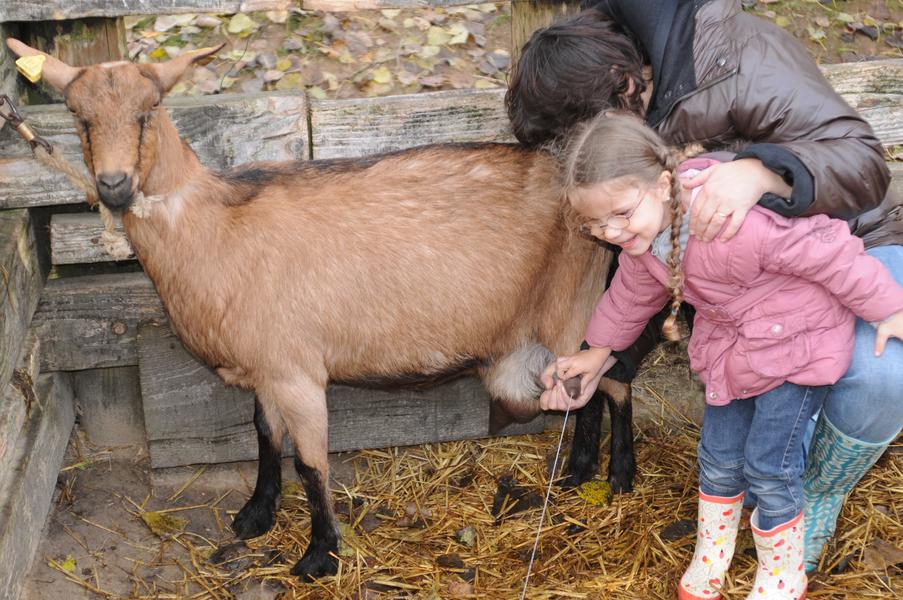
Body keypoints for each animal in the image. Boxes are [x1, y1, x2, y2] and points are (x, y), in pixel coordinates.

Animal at [8, 41, 628, 576]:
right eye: (78, 117)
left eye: (149, 109)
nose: (113, 186)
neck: (213, 227)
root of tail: (572, 167)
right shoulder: (267, 369)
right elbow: (264, 435)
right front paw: (256, 515)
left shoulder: (298, 374)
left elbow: (311, 464)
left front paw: (320, 555)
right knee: (589, 391)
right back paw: (579, 475)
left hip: (573, 308)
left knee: (609, 381)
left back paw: (614, 477)